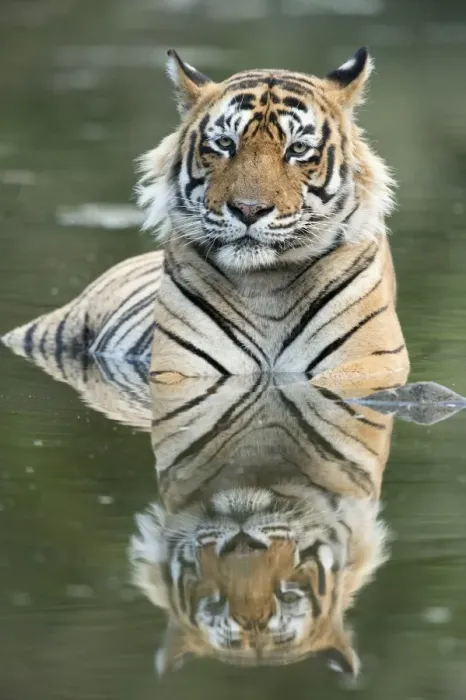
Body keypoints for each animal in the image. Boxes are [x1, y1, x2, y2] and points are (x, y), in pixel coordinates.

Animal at [2, 47, 409, 395]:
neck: (266, 286)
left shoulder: (369, 361)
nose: (248, 209)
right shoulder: (179, 368)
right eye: (226, 144)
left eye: (296, 149)